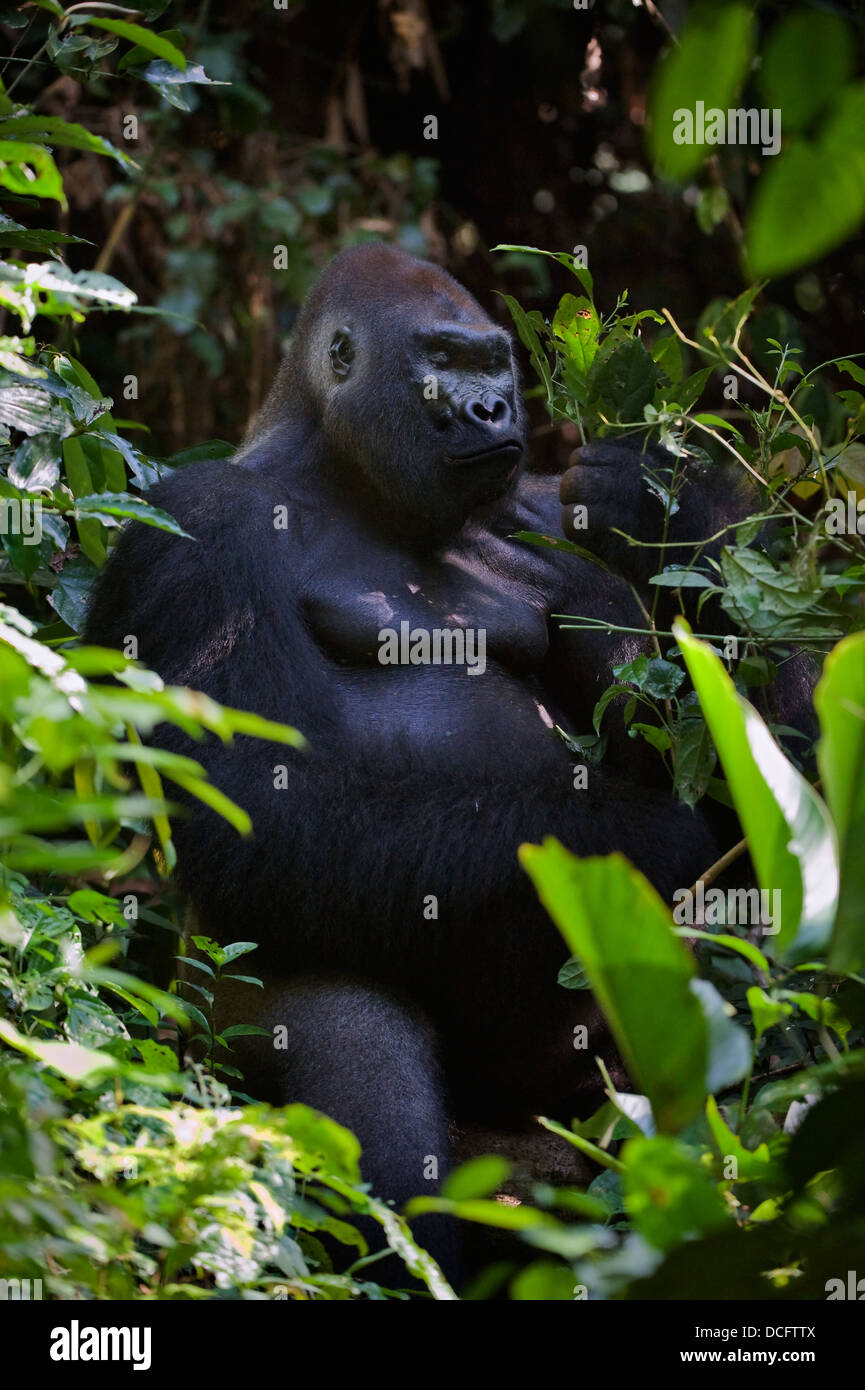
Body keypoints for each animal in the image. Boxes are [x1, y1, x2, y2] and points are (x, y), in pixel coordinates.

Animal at [84, 241, 767, 1278]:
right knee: (380, 1120)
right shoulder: (194, 521)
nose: (493, 412)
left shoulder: (535, 506)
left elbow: (736, 729)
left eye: (495, 365)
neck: (341, 476)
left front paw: (668, 503)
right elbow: (264, 807)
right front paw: (661, 840)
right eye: (443, 360)